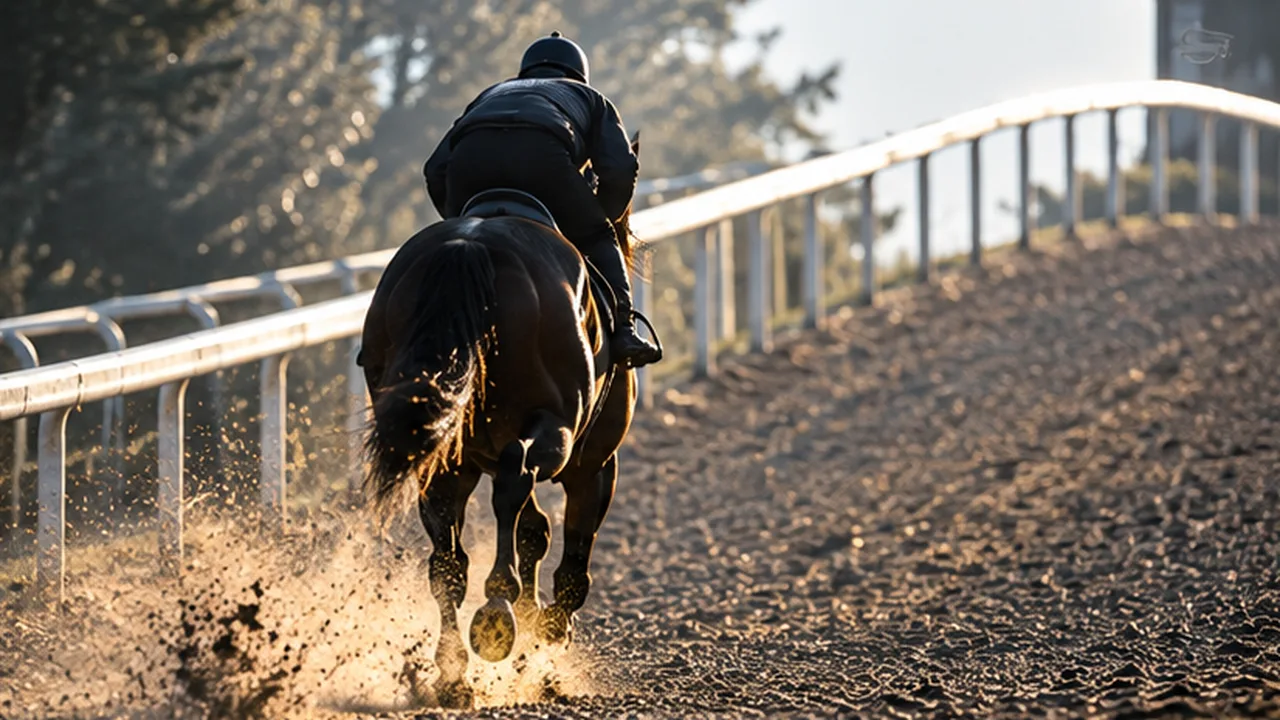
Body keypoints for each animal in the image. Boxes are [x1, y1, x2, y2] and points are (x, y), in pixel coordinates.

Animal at [356, 134, 652, 708]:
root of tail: (469, 248)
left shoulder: (483, 452)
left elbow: (533, 529)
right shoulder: (594, 462)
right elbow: (569, 549)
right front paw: (551, 626)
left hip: (441, 447)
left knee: (447, 555)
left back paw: (453, 674)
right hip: (557, 428)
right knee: (515, 484)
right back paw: (496, 613)